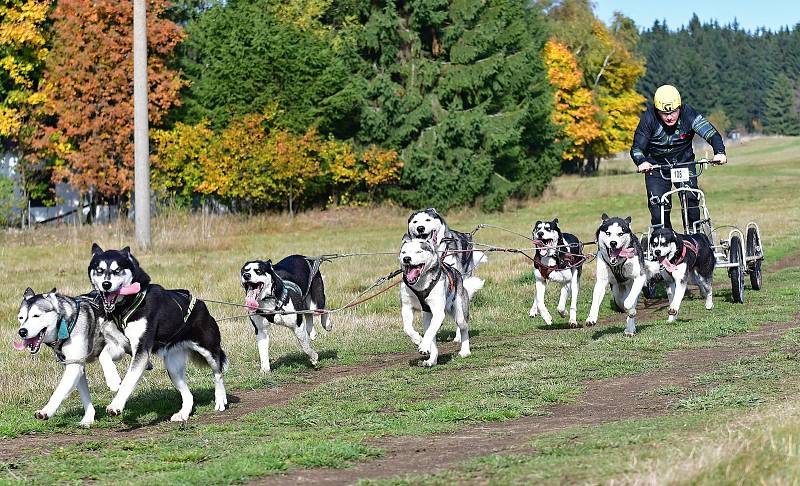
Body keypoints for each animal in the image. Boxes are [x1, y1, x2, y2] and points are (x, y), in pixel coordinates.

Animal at [14, 288, 130, 426]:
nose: (22, 332)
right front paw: (88, 418)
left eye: (36, 316)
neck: (66, 322)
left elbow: (60, 390)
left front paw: (46, 411)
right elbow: (84, 395)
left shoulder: (116, 347)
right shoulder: (75, 364)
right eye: (21, 318)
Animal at [88, 243, 227, 422]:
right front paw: (112, 380)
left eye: (117, 270)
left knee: (218, 373)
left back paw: (220, 399)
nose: (106, 284)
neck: (124, 307)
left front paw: (116, 405)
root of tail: (201, 304)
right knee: (188, 395)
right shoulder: (120, 346)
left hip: (209, 350)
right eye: (99, 270)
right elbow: (104, 356)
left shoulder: (141, 351)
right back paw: (183, 413)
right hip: (173, 367)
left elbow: (128, 380)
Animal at [398, 235, 482, 364]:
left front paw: (423, 346)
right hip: (427, 316)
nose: (406, 259)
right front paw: (418, 339)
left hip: (460, 313)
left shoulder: (438, 312)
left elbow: (430, 332)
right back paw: (432, 360)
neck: (420, 285)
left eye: (419, 251)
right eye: (404, 252)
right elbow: (407, 328)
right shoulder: (407, 307)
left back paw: (465, 351)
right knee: (430, 333)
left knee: (463, 328)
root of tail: (459, 276)